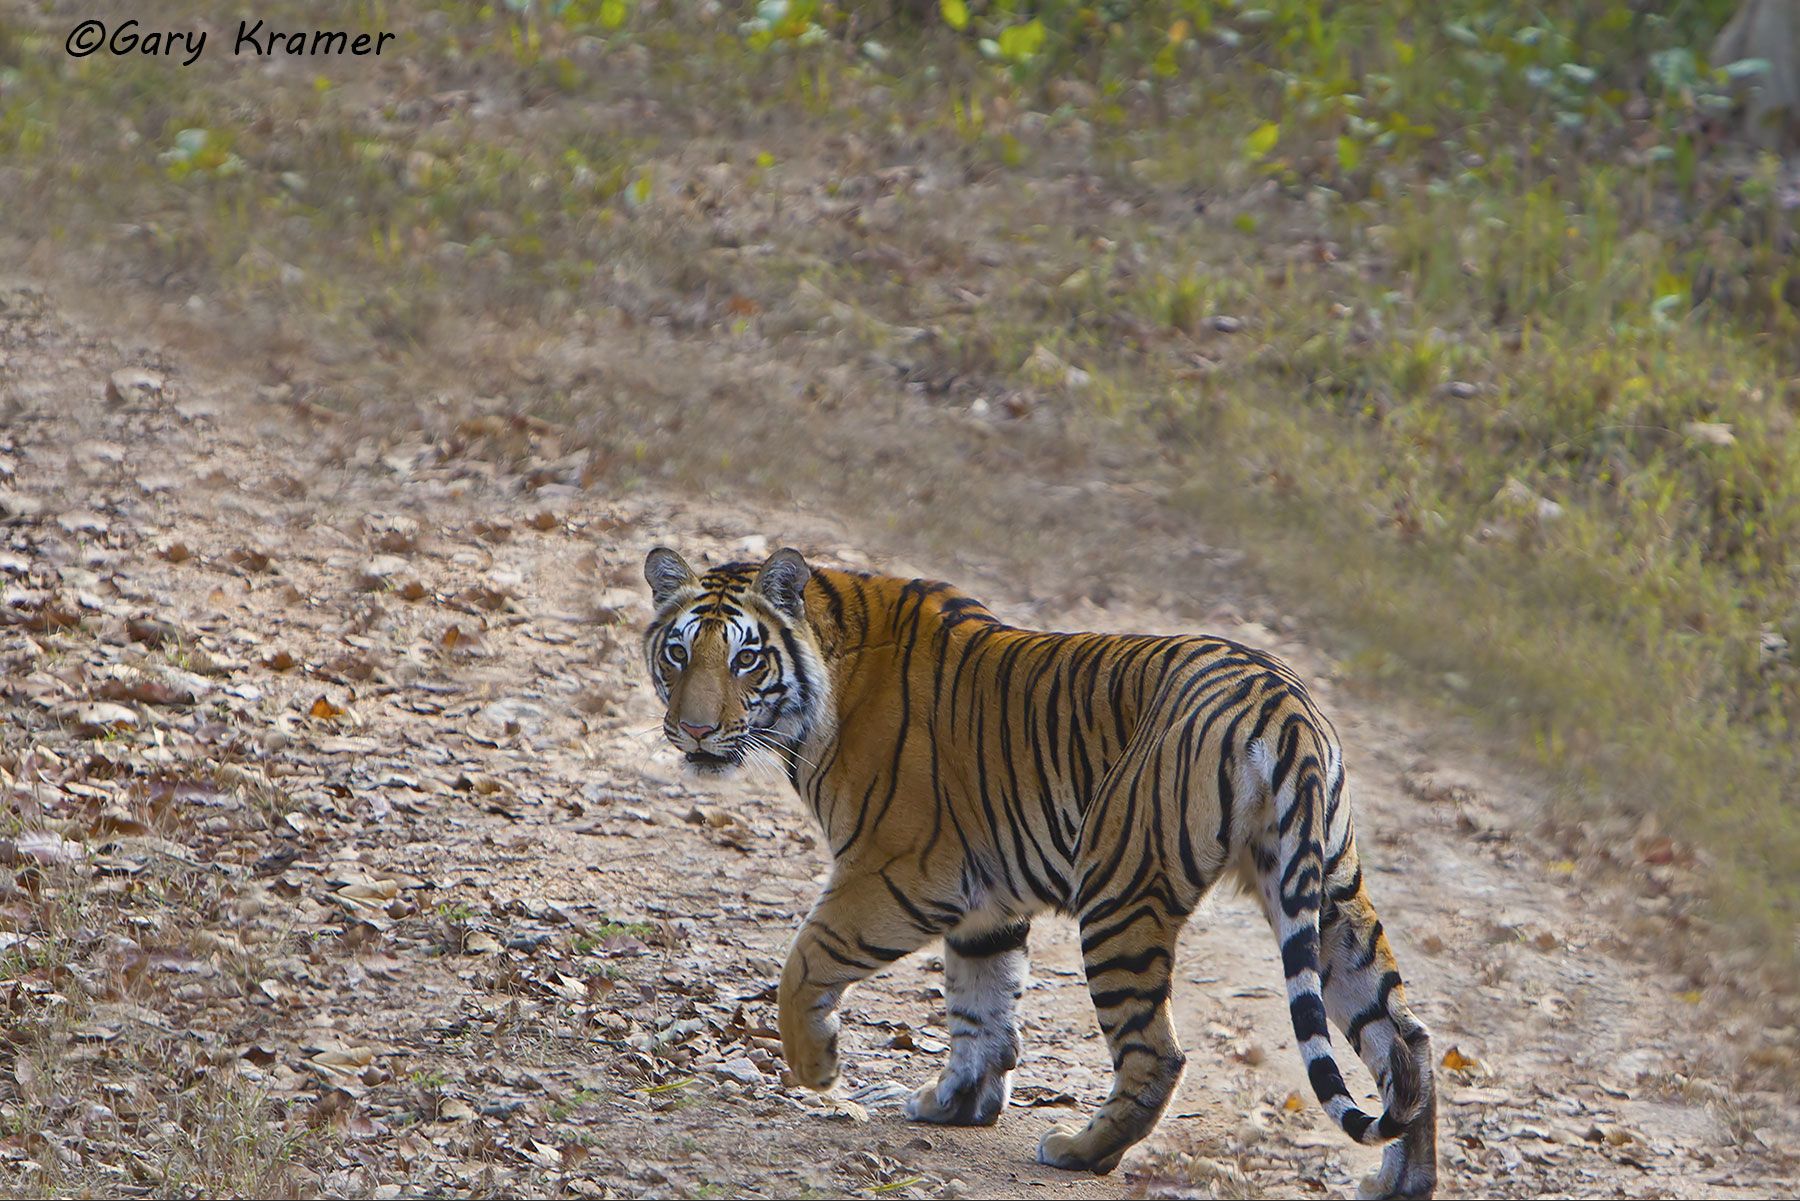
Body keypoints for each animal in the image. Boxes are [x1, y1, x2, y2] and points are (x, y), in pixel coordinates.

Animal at [641, 545, 1439, 1200]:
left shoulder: (899, 869)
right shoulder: (983, 899)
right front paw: (956, 1104)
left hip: (1119, 891)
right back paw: (1402, 1181)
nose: (695, 731)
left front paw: (818, 1069)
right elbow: (981, 1005)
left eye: (745, 660)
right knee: (1406, 1042)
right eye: (677, 654)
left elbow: (807, 960)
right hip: (1328, 896)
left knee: (1157, 1055)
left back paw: (1080, 1151)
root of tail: (1283, 704)